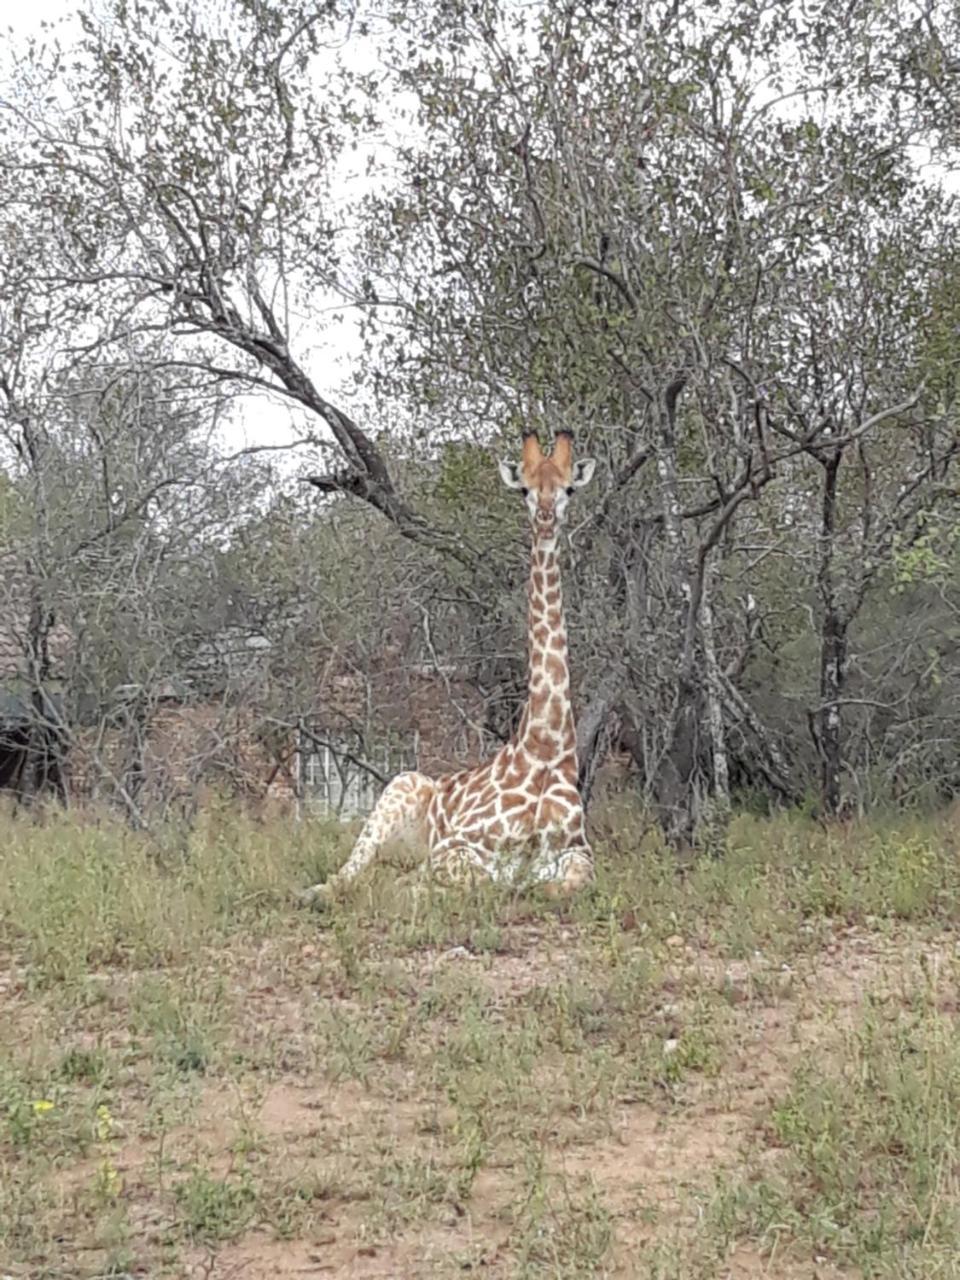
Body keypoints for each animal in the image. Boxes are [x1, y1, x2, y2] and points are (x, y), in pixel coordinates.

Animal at [304, 430, 599, 901]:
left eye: (569, 487)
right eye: (524, 489)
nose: (546, 516)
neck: (545, 749)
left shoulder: (578, 852)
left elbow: (564, 883)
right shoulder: (457, 845)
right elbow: (476, 880)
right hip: (398, 786)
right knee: (348, 873)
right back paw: (323, 893)